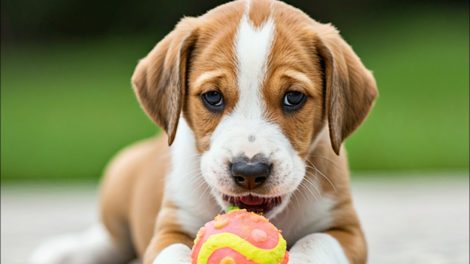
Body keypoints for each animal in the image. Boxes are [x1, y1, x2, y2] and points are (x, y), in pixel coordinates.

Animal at [30, 0, 378, 264]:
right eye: (213, 97)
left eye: (294, 97)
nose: (249, 171)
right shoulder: (168, 230)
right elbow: (173, 253)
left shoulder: (347, 230)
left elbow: (315, 242)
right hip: (119, 176)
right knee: (111, 239)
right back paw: (65, 251)